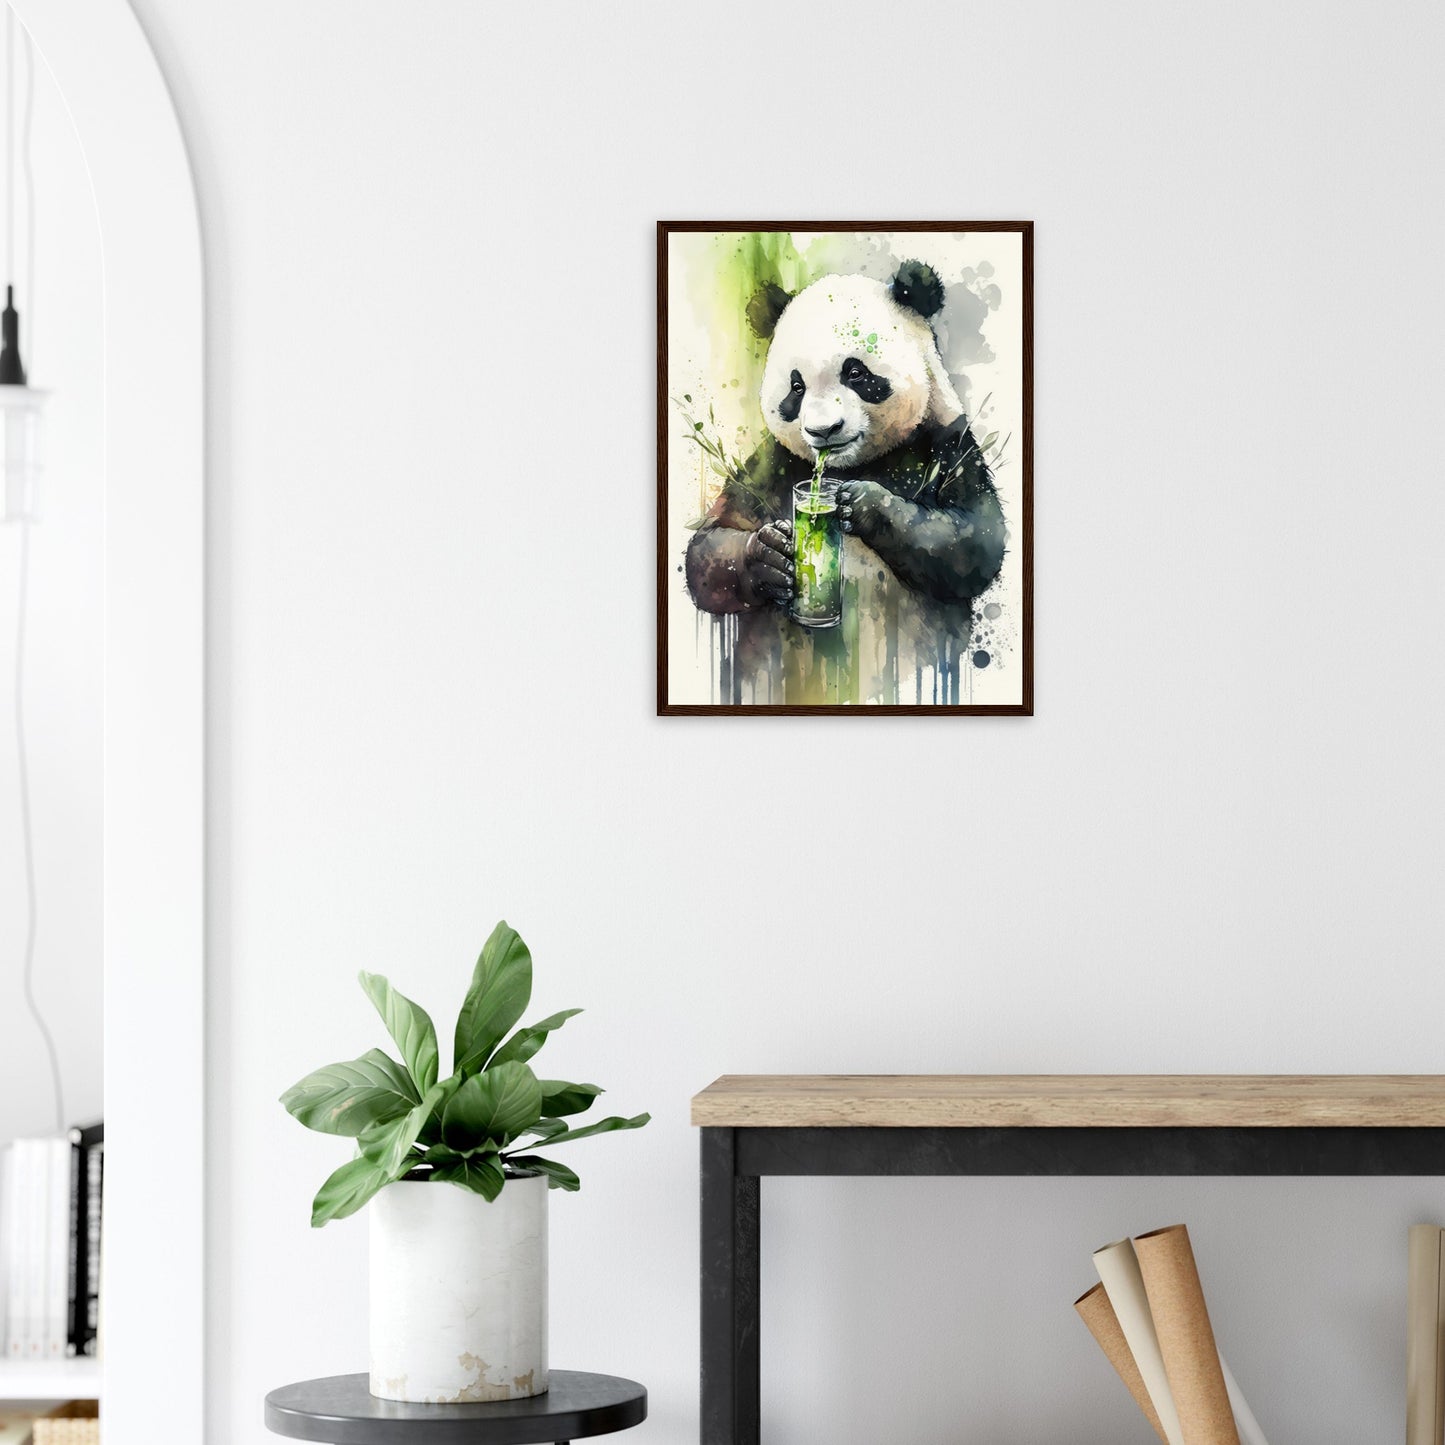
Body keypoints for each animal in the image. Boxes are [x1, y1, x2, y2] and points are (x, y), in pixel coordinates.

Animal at [684, 261, 1006, 697]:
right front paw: (770, 556)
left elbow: (974, 541)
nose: (824, 430)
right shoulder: (774, 462)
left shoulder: (947, 444)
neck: (850, 466)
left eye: (856, 372)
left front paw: (865, 504)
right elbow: (710, 545)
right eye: (797, 387)